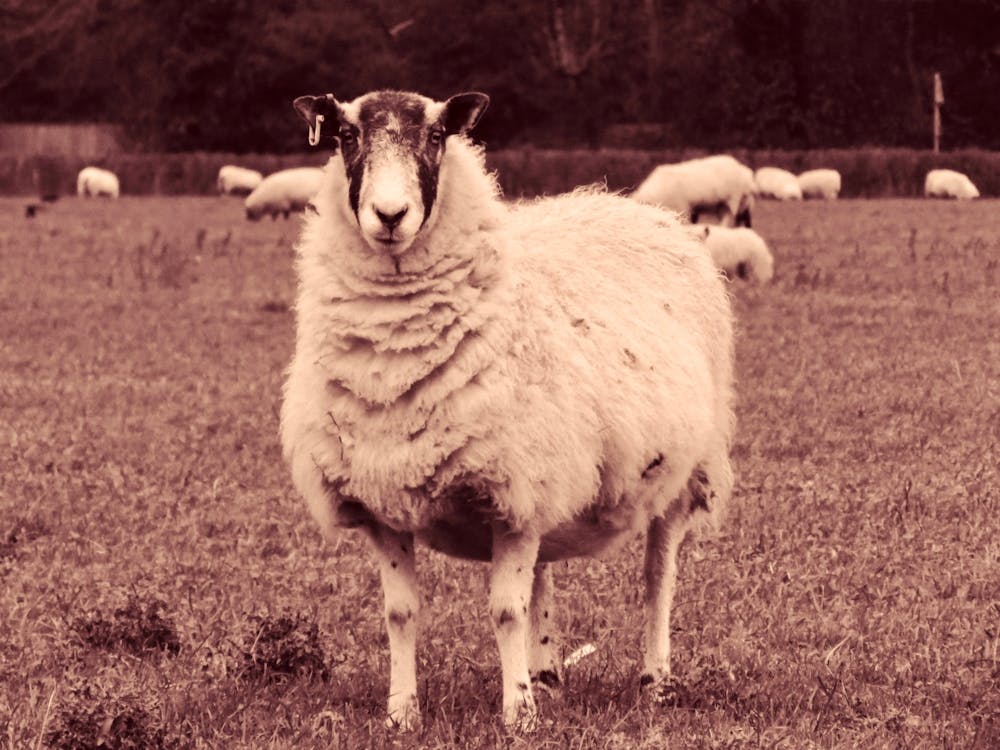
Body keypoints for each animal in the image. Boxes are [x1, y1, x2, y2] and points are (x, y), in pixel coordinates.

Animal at [280, 89, 735, 731]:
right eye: (346, 136)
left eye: (438, 136)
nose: (390, 216)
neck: (394, 358)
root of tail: (631, 207)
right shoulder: (386, 501)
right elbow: (401, 614)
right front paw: (402, 713)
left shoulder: (511, 490)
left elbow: (505, 613)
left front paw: (517, 713)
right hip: (543, 478)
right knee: (545, 573)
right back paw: (547, 676)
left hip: (684, 469)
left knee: (657, 577)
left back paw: (653, 681)